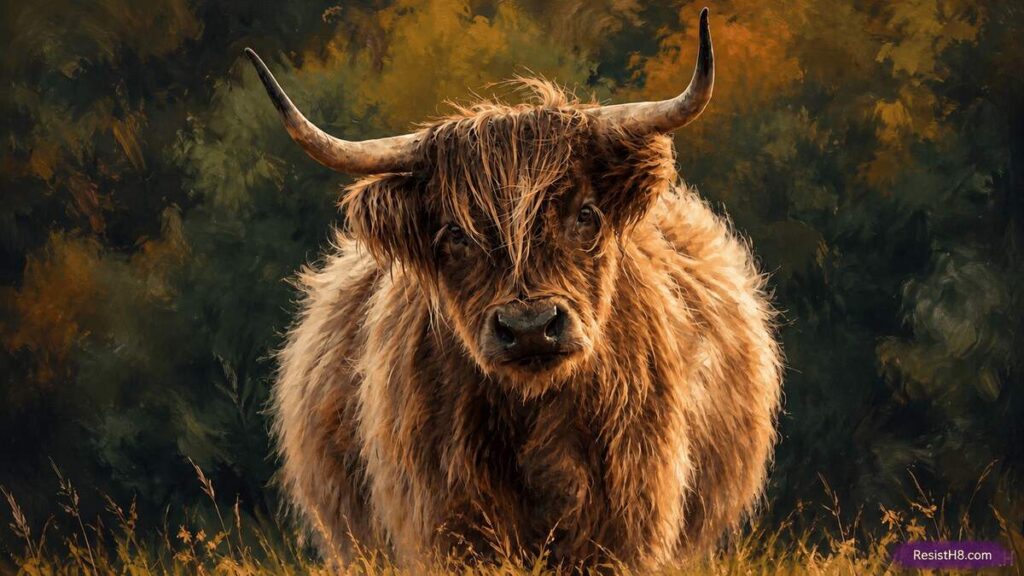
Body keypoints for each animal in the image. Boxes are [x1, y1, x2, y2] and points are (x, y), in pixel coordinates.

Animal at [246, 8, 781, 572]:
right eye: (455, 234)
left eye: (585, 214)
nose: (530, 329)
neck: (534, 415)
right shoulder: (451, 527)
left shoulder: (620, 529)